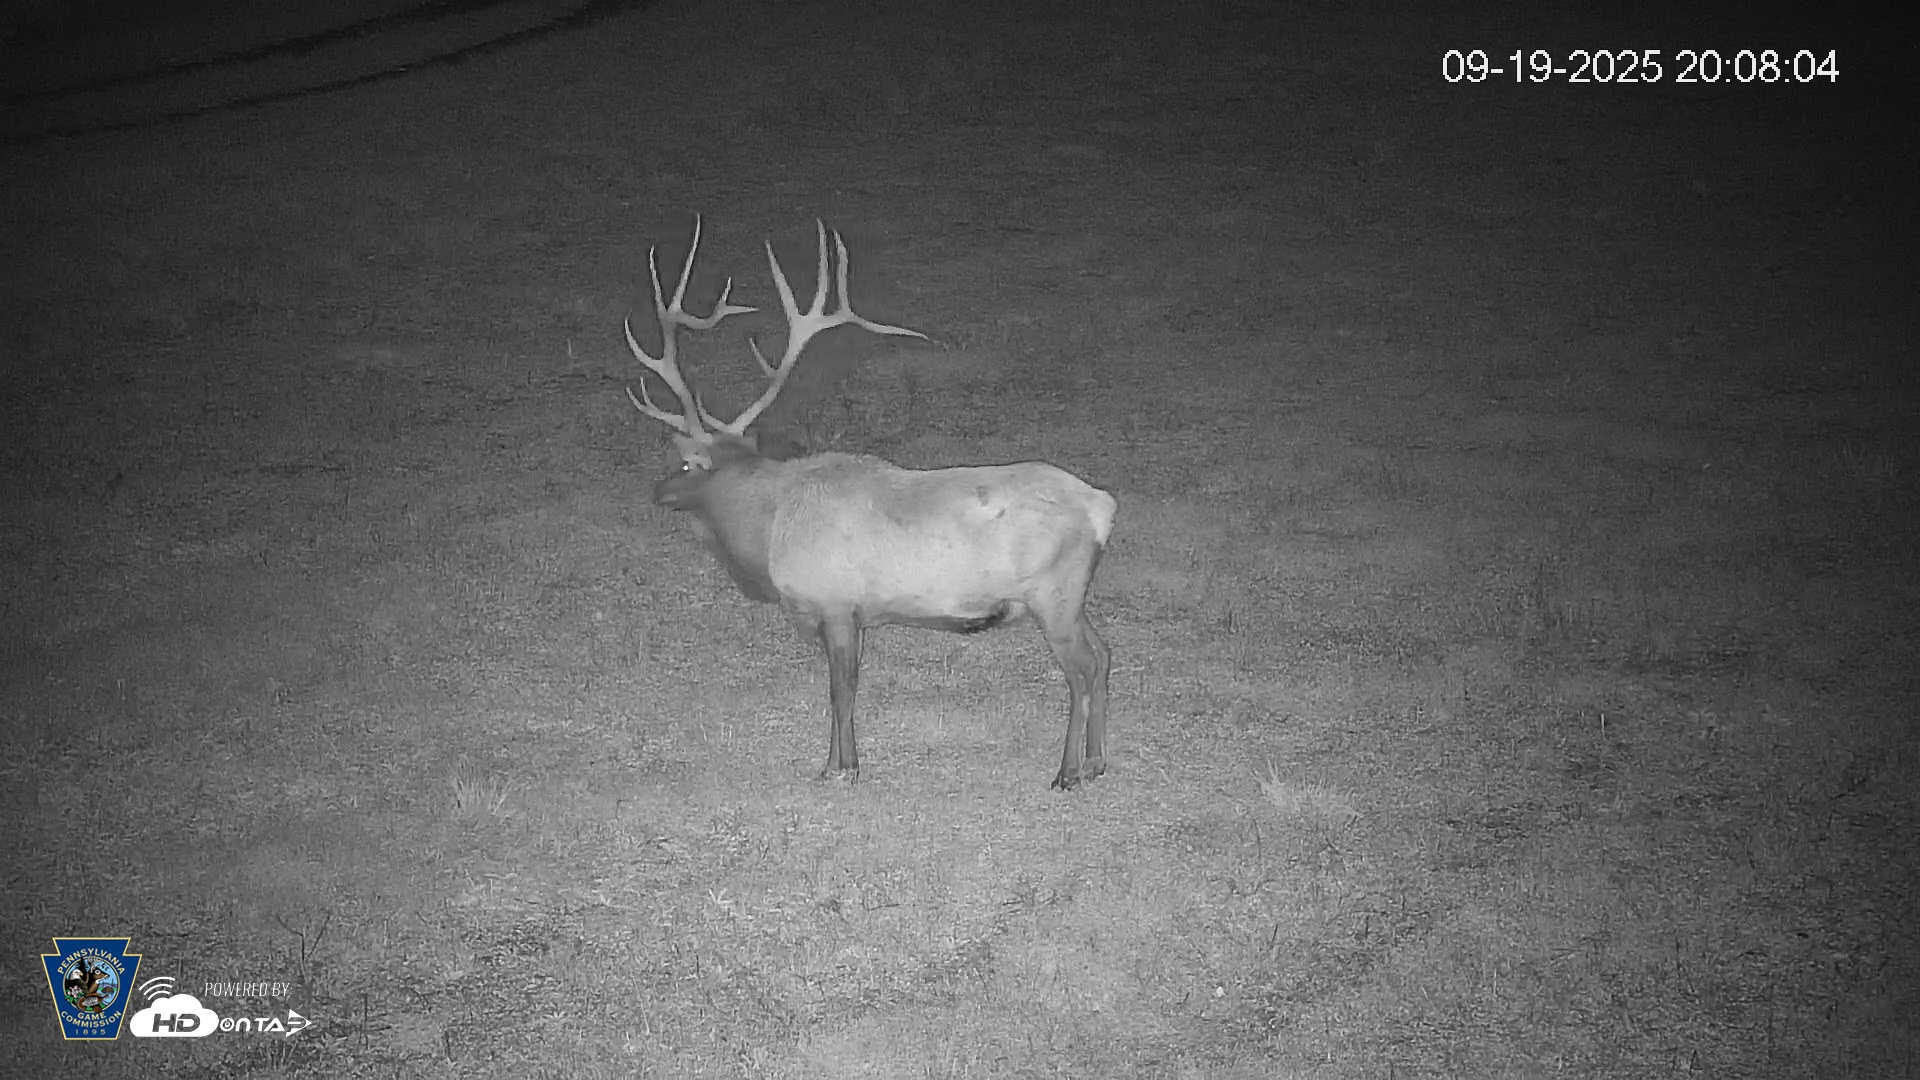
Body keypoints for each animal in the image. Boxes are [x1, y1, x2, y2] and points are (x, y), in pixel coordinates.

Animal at [623, 217, 1117, 789]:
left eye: (685, 465)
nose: (655, 490)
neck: (768, 535)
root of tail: (1102, 506)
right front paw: (844, 763)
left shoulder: (836, 603)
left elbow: (841, 691)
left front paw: (839, 767)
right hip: (1072, 596)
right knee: (1105, 655)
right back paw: (1098, 760)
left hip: (1051, 594)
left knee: (1081, 670)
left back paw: (1068, 771)